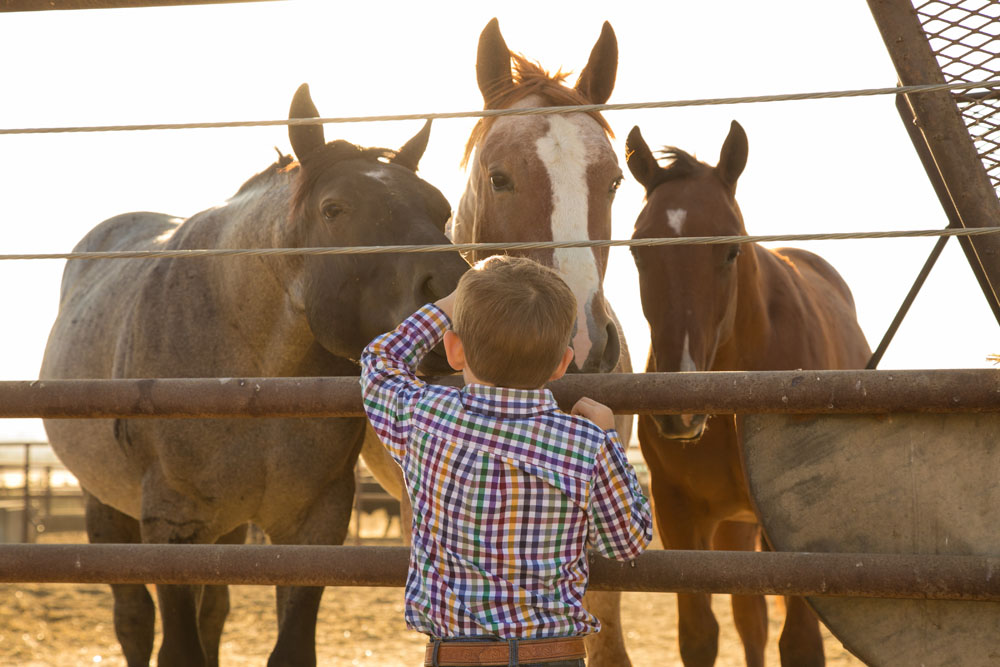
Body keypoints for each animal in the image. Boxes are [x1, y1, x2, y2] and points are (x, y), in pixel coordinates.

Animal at [41, 85, 470, 667]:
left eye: (441, 208)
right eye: (334, 209)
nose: (453, 290)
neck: (252, 377)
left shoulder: (314, 528)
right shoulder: (171, 528)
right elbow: (178, 648)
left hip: (227, 529)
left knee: (214, 612)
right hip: (106, 509)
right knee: (133, 620)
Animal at [624, 121, 868, 667]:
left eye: (731, 249)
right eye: (637, 249)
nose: (679, 410)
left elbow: (800, 643)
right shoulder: (678, 513)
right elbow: (700, 635)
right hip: (734, 526)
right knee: (749, 617)